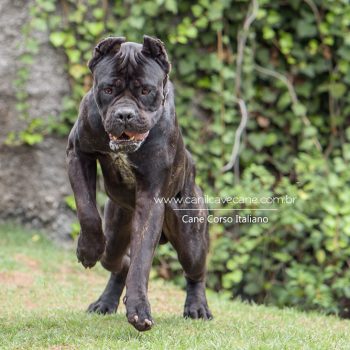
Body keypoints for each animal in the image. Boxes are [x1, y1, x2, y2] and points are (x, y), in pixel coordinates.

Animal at [66, 35, 212, 330]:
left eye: (145, 90)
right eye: (108, 89)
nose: (125, 114)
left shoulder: (151, 196)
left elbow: (142, 260)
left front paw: (139, 309)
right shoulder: (78, 152)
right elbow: (86, 209)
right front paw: (88, 249)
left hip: (191, 239)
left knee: (195, 273)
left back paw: (197, 307)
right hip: (116, 227)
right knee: (117, 262)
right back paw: (105, 301)